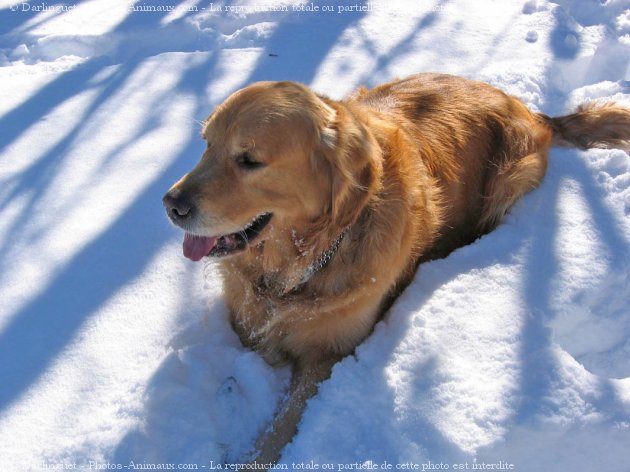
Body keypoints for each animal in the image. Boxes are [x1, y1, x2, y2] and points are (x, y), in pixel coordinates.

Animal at [164, 74, 630, 464]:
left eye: (249, 159)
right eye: (206, 144)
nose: (171, 205)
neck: (302, 262)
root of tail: (530, 109)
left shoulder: (328, 357)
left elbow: (281, 427)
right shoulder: (245, 318)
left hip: (511, 179)